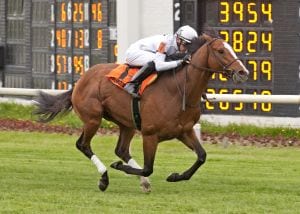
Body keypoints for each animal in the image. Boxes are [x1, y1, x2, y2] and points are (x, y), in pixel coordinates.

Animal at [33, 33, 248, 192]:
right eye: (221, 50)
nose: (243, 72)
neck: (179, 90)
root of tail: (81, 80)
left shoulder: (184, 131)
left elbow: (201, 156)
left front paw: (175, 176)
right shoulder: (150, 135)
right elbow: (148, 168)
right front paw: (119, 167)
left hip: (127, 124)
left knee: (121, 149)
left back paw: (139, 181)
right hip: (92, 119)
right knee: (83, 145)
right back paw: (104, 177)